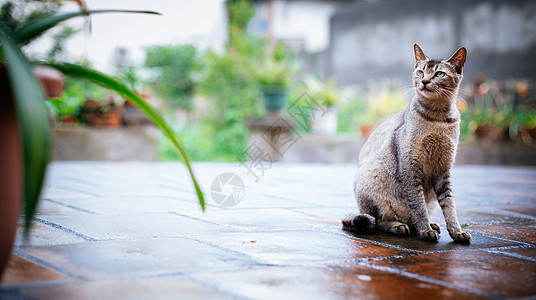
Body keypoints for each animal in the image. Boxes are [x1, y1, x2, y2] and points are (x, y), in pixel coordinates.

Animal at [342, 44, 472, 244]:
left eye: (439, 74)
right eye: (420, 72)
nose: (424, 81)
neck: (438, 119)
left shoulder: (443, 170)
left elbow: (450, 205)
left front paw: (456, 232)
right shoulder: (410, 167)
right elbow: (418, 205)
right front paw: (425, 231)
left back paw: (426, 225)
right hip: (371, 177)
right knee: (377, 221)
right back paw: (399, 226)